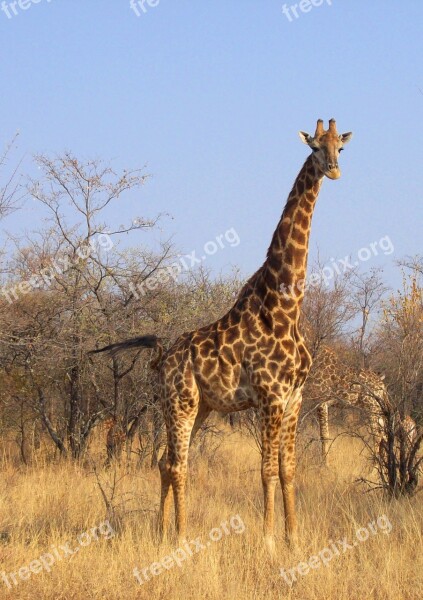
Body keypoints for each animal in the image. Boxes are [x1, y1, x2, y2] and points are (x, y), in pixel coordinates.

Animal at [92, 118, 354, 552]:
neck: (286, 307)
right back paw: (180, 537)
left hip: (199, 407)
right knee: (177, 465)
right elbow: (266, 470)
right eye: (315, 147)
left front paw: (294, 540)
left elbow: (289, 470)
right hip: (180, 402)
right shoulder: (269, 397)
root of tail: (162, 359)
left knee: (165, 462)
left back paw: (161, 532)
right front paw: (268, 542)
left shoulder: (295, 398)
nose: (333, 170)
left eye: (341, 147)